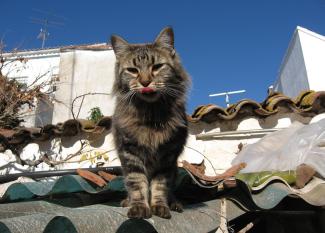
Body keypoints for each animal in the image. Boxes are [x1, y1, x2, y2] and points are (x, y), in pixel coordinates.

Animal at [110, 27, 190, 218]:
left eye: (157, 67)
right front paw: (139, 207)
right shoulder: (130, 153)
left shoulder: (167, 158)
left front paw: (159, 207)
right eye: (132, 70)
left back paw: (175, 203)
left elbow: (159, 186)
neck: (151, 115)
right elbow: (137, 184)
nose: (145, 82)